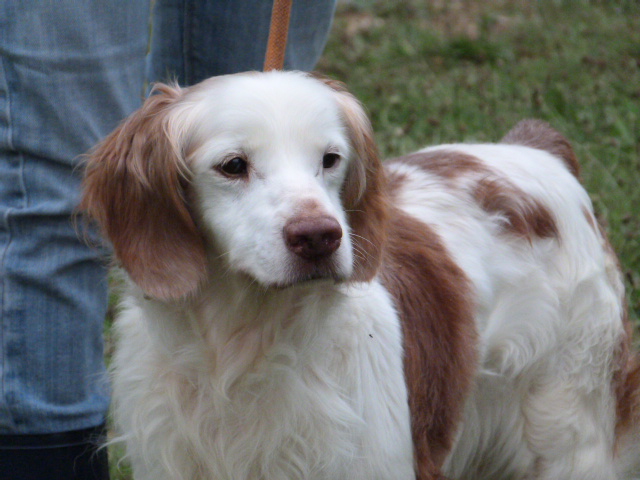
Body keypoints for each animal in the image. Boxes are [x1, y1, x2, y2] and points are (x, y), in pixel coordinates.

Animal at [81, 71, 640, 480]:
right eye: (233, 165)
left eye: (331, 159)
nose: (318, 236)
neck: (242, 349)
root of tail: (539, 152)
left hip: (572, 433)